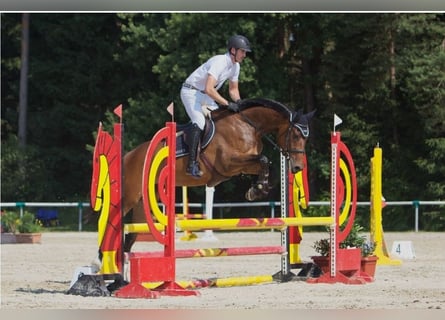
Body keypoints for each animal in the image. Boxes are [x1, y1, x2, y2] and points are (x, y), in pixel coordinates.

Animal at [116, 97, 314, 252]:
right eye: (296, 135)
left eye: (306, 138)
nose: (298, 167)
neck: (249, 125)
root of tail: (128, 156)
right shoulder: (228, 163)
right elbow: (264, 159)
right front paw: (258, 188)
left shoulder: (244, 165)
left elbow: (265, 165)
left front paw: (258, 188)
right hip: (131, 196)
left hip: (144, 200)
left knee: (131, 238)